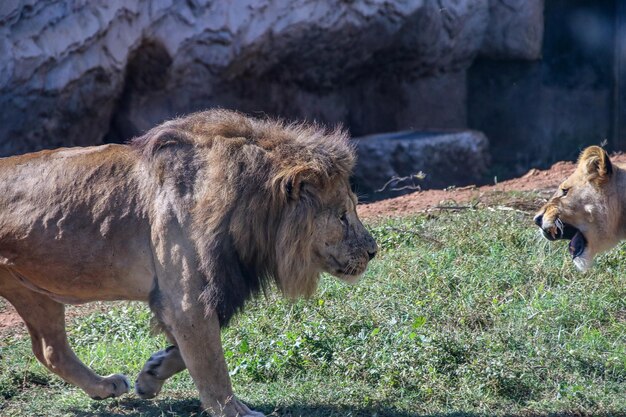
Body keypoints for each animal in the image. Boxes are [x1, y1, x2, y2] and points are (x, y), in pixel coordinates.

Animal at [0, 109, 376, 414]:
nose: (373, 251)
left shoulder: (193, 294)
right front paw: (234, 411)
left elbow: (189, 352)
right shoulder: (188, 298)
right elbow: (211, 363)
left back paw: (104, 386)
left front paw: (152, 373)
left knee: (49, 350)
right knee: (50, 349)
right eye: (343, 216)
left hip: (32, 291)